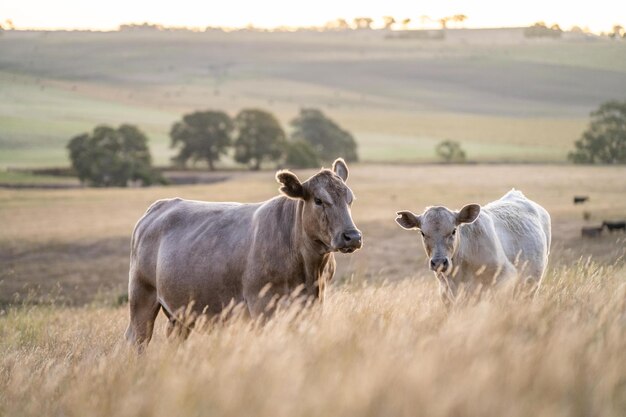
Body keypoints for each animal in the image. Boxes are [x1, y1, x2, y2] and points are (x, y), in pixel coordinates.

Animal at [123, 159, 360, 348]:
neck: (309, 271)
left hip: (180, 311)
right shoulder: (261, 306)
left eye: (350, 199)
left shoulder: (314, 304)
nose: (352, 236)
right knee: (138, 339)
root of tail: (159, 206)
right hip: (142, 296)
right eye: (318, 200)